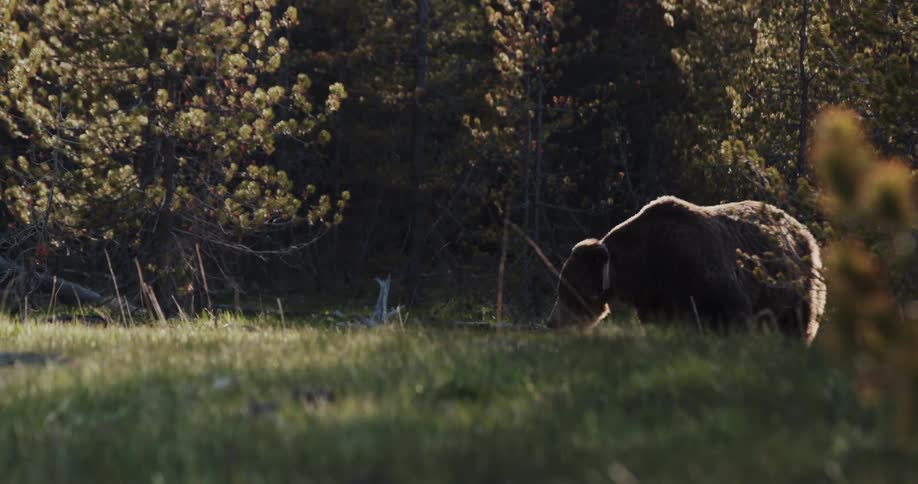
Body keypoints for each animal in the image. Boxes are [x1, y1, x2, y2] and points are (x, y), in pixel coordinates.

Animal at [547, 196, 826, 344]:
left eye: (566, 290)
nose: (552, 322)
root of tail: (802, 227)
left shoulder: (704, 272)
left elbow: (733, 313)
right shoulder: (658, 298)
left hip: (792, 285)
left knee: (797, 321)